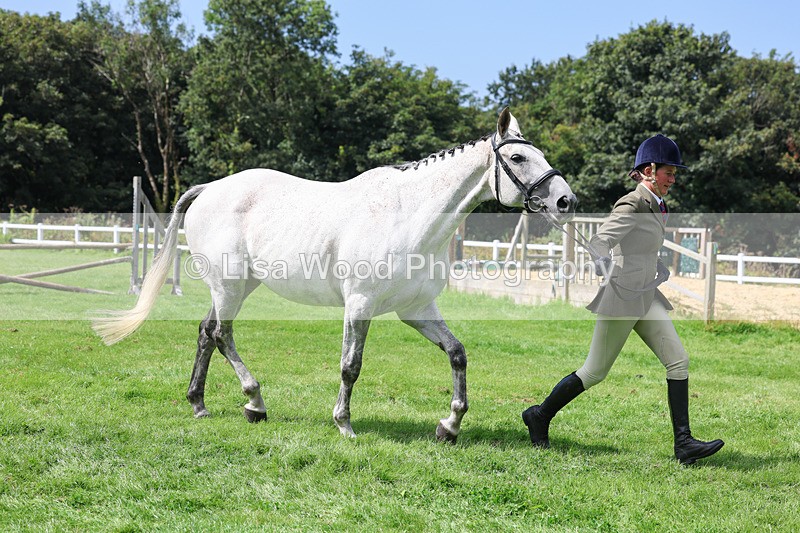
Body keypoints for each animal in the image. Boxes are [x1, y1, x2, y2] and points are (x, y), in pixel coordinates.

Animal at [94, 108, 576, 442]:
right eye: (518, 156)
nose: (566, 201)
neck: (407, 216)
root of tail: (209, 188)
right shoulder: (359, 305)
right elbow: (350, 366)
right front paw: (344, 424)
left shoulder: (417, 309)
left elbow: (457, 354)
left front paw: (450, 425)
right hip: (229, 285)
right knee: (221, 334)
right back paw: (255, 401)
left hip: (237, 285)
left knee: (206, 332)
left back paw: (201, 403)